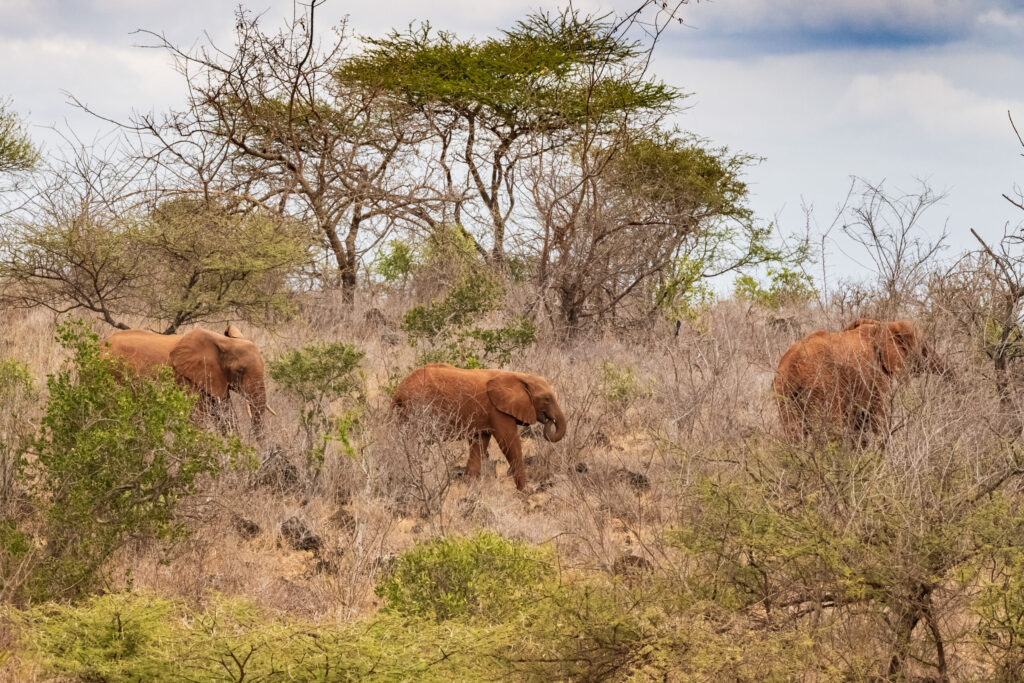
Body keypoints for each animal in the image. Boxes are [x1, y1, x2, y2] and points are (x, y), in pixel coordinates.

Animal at [392, 364, 568, 491]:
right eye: (547, 399)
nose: (550, 420)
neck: (519, 377)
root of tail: (398, 390)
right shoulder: (498, 411)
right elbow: (510, 443)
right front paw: (527, 491)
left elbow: (480, 443)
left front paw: (471, 486)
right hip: (414, 409)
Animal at [775, 318, 948, 440]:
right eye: (924, 348)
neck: (884, 325)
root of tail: (793, 367)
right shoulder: (877, 376)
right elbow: (878, 420)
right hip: (823, 386)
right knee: (831, 431)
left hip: (784, 392)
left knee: (794, 434)